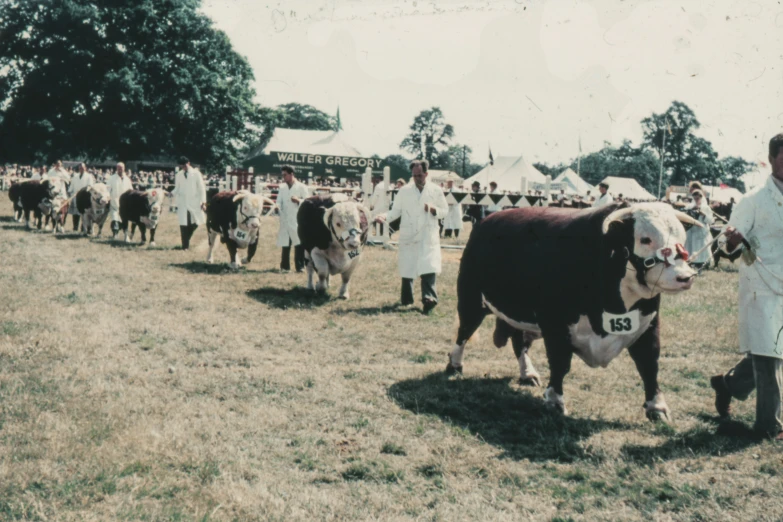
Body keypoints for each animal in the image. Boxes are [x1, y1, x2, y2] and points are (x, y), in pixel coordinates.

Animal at [448, 201, 704, 420]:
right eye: (645, 239)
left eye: (682, 238)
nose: (685, 277)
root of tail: (489, 218)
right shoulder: (555, 324)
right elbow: (560, 363)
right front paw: (555, 401)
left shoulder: (648, 323)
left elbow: (649, 364)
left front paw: (657, 407)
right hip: (470, 300)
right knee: (464, 333)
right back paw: (455, 364)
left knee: (519, 342)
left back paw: (527, 373)